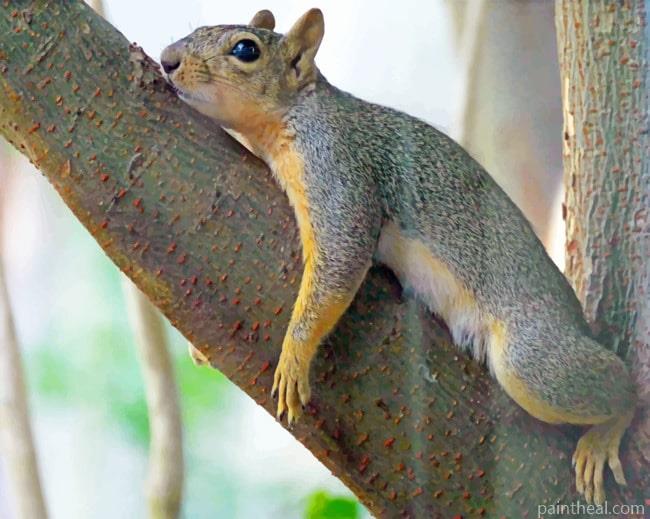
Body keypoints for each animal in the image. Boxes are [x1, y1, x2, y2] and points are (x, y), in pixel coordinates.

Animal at [161, 9, 637, 505]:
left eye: (245, 50)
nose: (166, 59)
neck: (294, 116)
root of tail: (574, 321)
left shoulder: (338, 167)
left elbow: (341, 256)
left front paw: (294, 355)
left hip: (532, 357)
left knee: (618, 388)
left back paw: (608, 430)